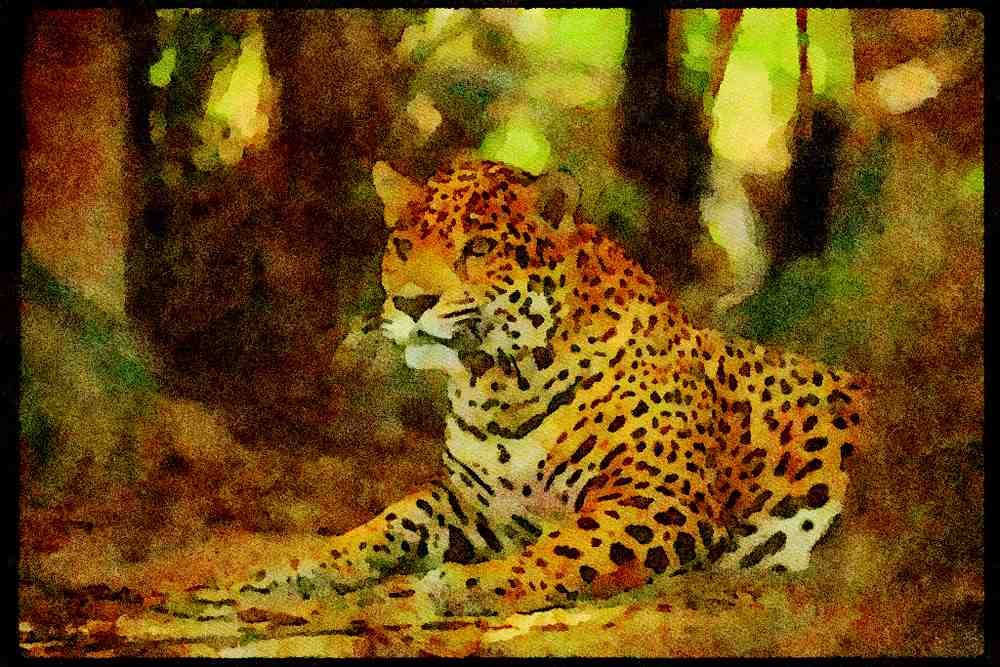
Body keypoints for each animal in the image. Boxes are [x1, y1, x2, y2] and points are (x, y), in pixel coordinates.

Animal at [185, 158, 866, 621]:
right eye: (402, 245)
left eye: (481, 246)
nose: (410, 303)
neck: (500, 386)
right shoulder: (482, 506)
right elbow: (394, 517)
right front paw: (297, 569)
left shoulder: (659, 499)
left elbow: (569, 548)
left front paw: (472, 585)